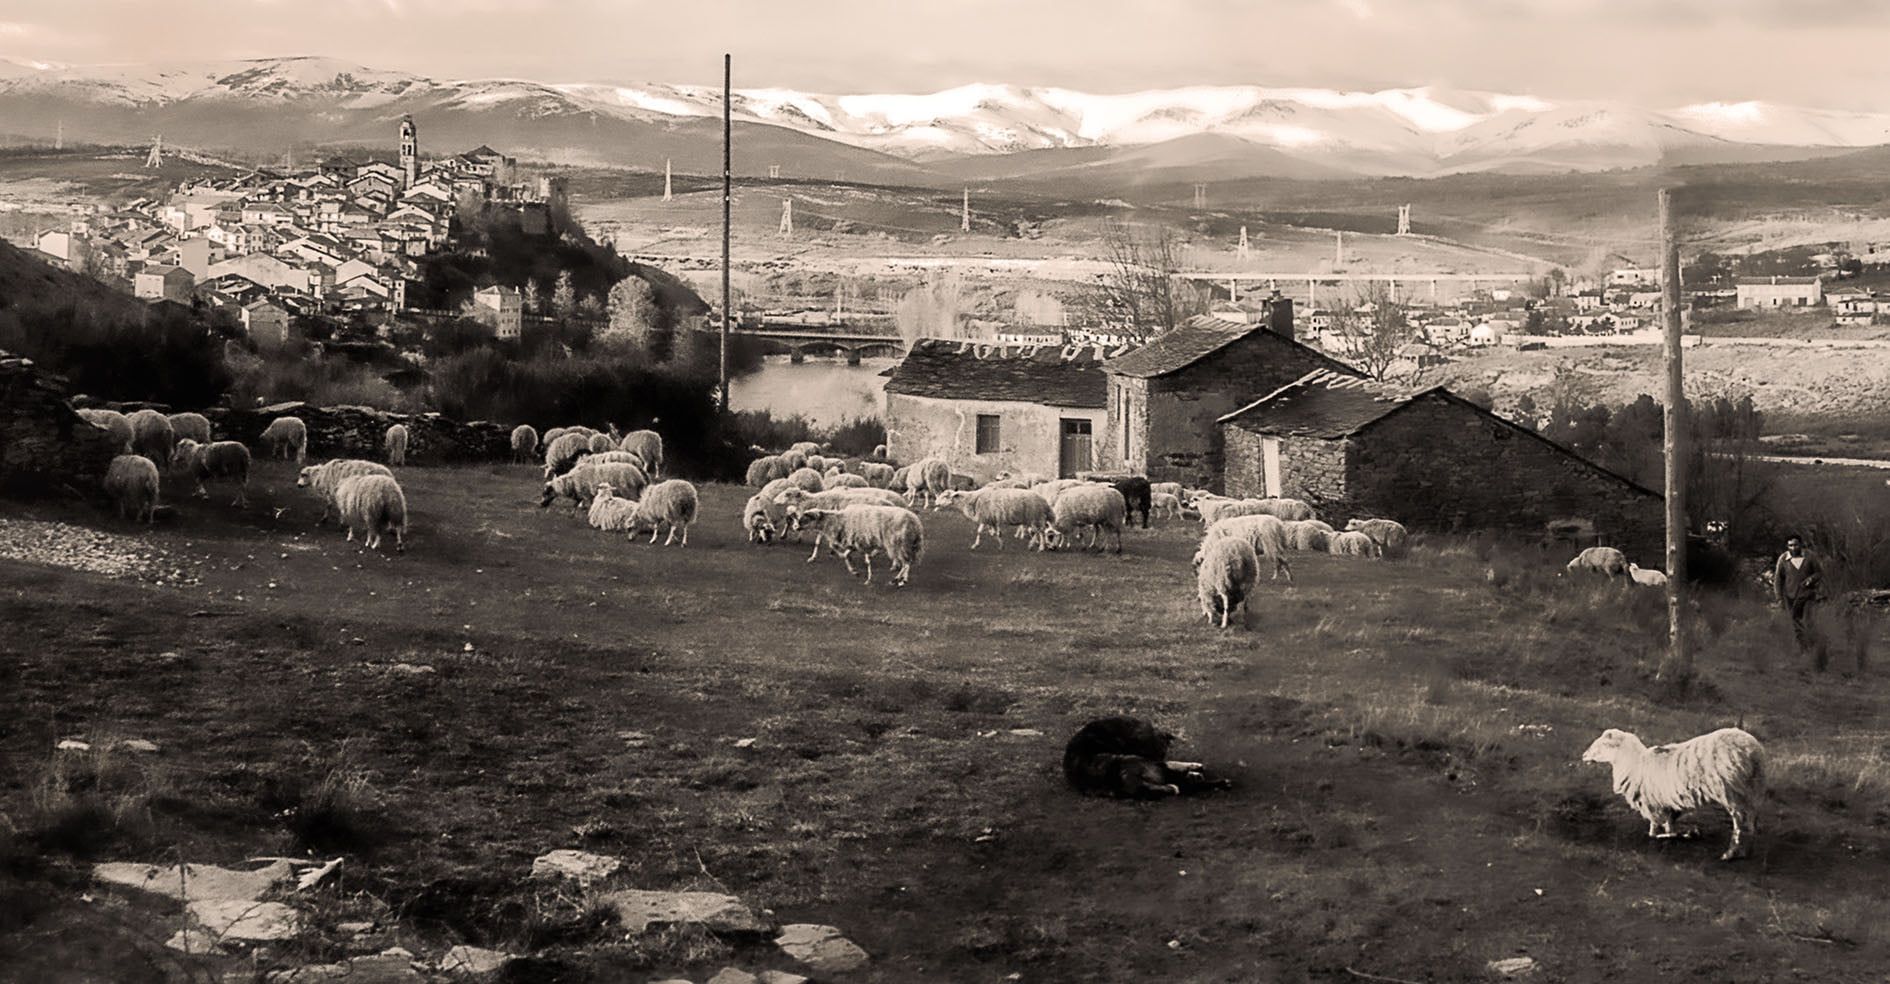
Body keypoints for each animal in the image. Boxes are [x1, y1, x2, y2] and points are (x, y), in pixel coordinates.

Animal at [790, 506, 922, 581]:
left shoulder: (860, 542)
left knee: (906, 562)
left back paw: (899, 580)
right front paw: (854, 571)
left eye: (808, 517)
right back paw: (899, 579)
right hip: (906, 545)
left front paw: (868, 578)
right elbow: (846, 555)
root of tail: (915, 523)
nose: (795, 527)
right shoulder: (854, 543)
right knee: (907, 562)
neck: (837, 521)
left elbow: (866, 560)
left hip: (898, 543)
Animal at [1058, 713, 1232, 797]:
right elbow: (1172, 763)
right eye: (1160, 752)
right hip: (1137, 761)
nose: (1158, 758)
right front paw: (1193, 767)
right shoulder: (1152, 760)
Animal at [1587, 725, 1761, 853]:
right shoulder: (1668, 801)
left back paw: (1731, 852)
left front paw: (1654, 835)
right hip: (1752, 790)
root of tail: (1753, 752)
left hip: (1732, 791)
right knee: (1751, 821)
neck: (1635, 763)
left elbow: (1655, 821)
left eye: (1603, 745)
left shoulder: (1651, 801)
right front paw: (1671, 834)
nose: (1584, 756)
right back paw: (1747, 850)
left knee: (1739, 821)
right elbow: (1669, 821)